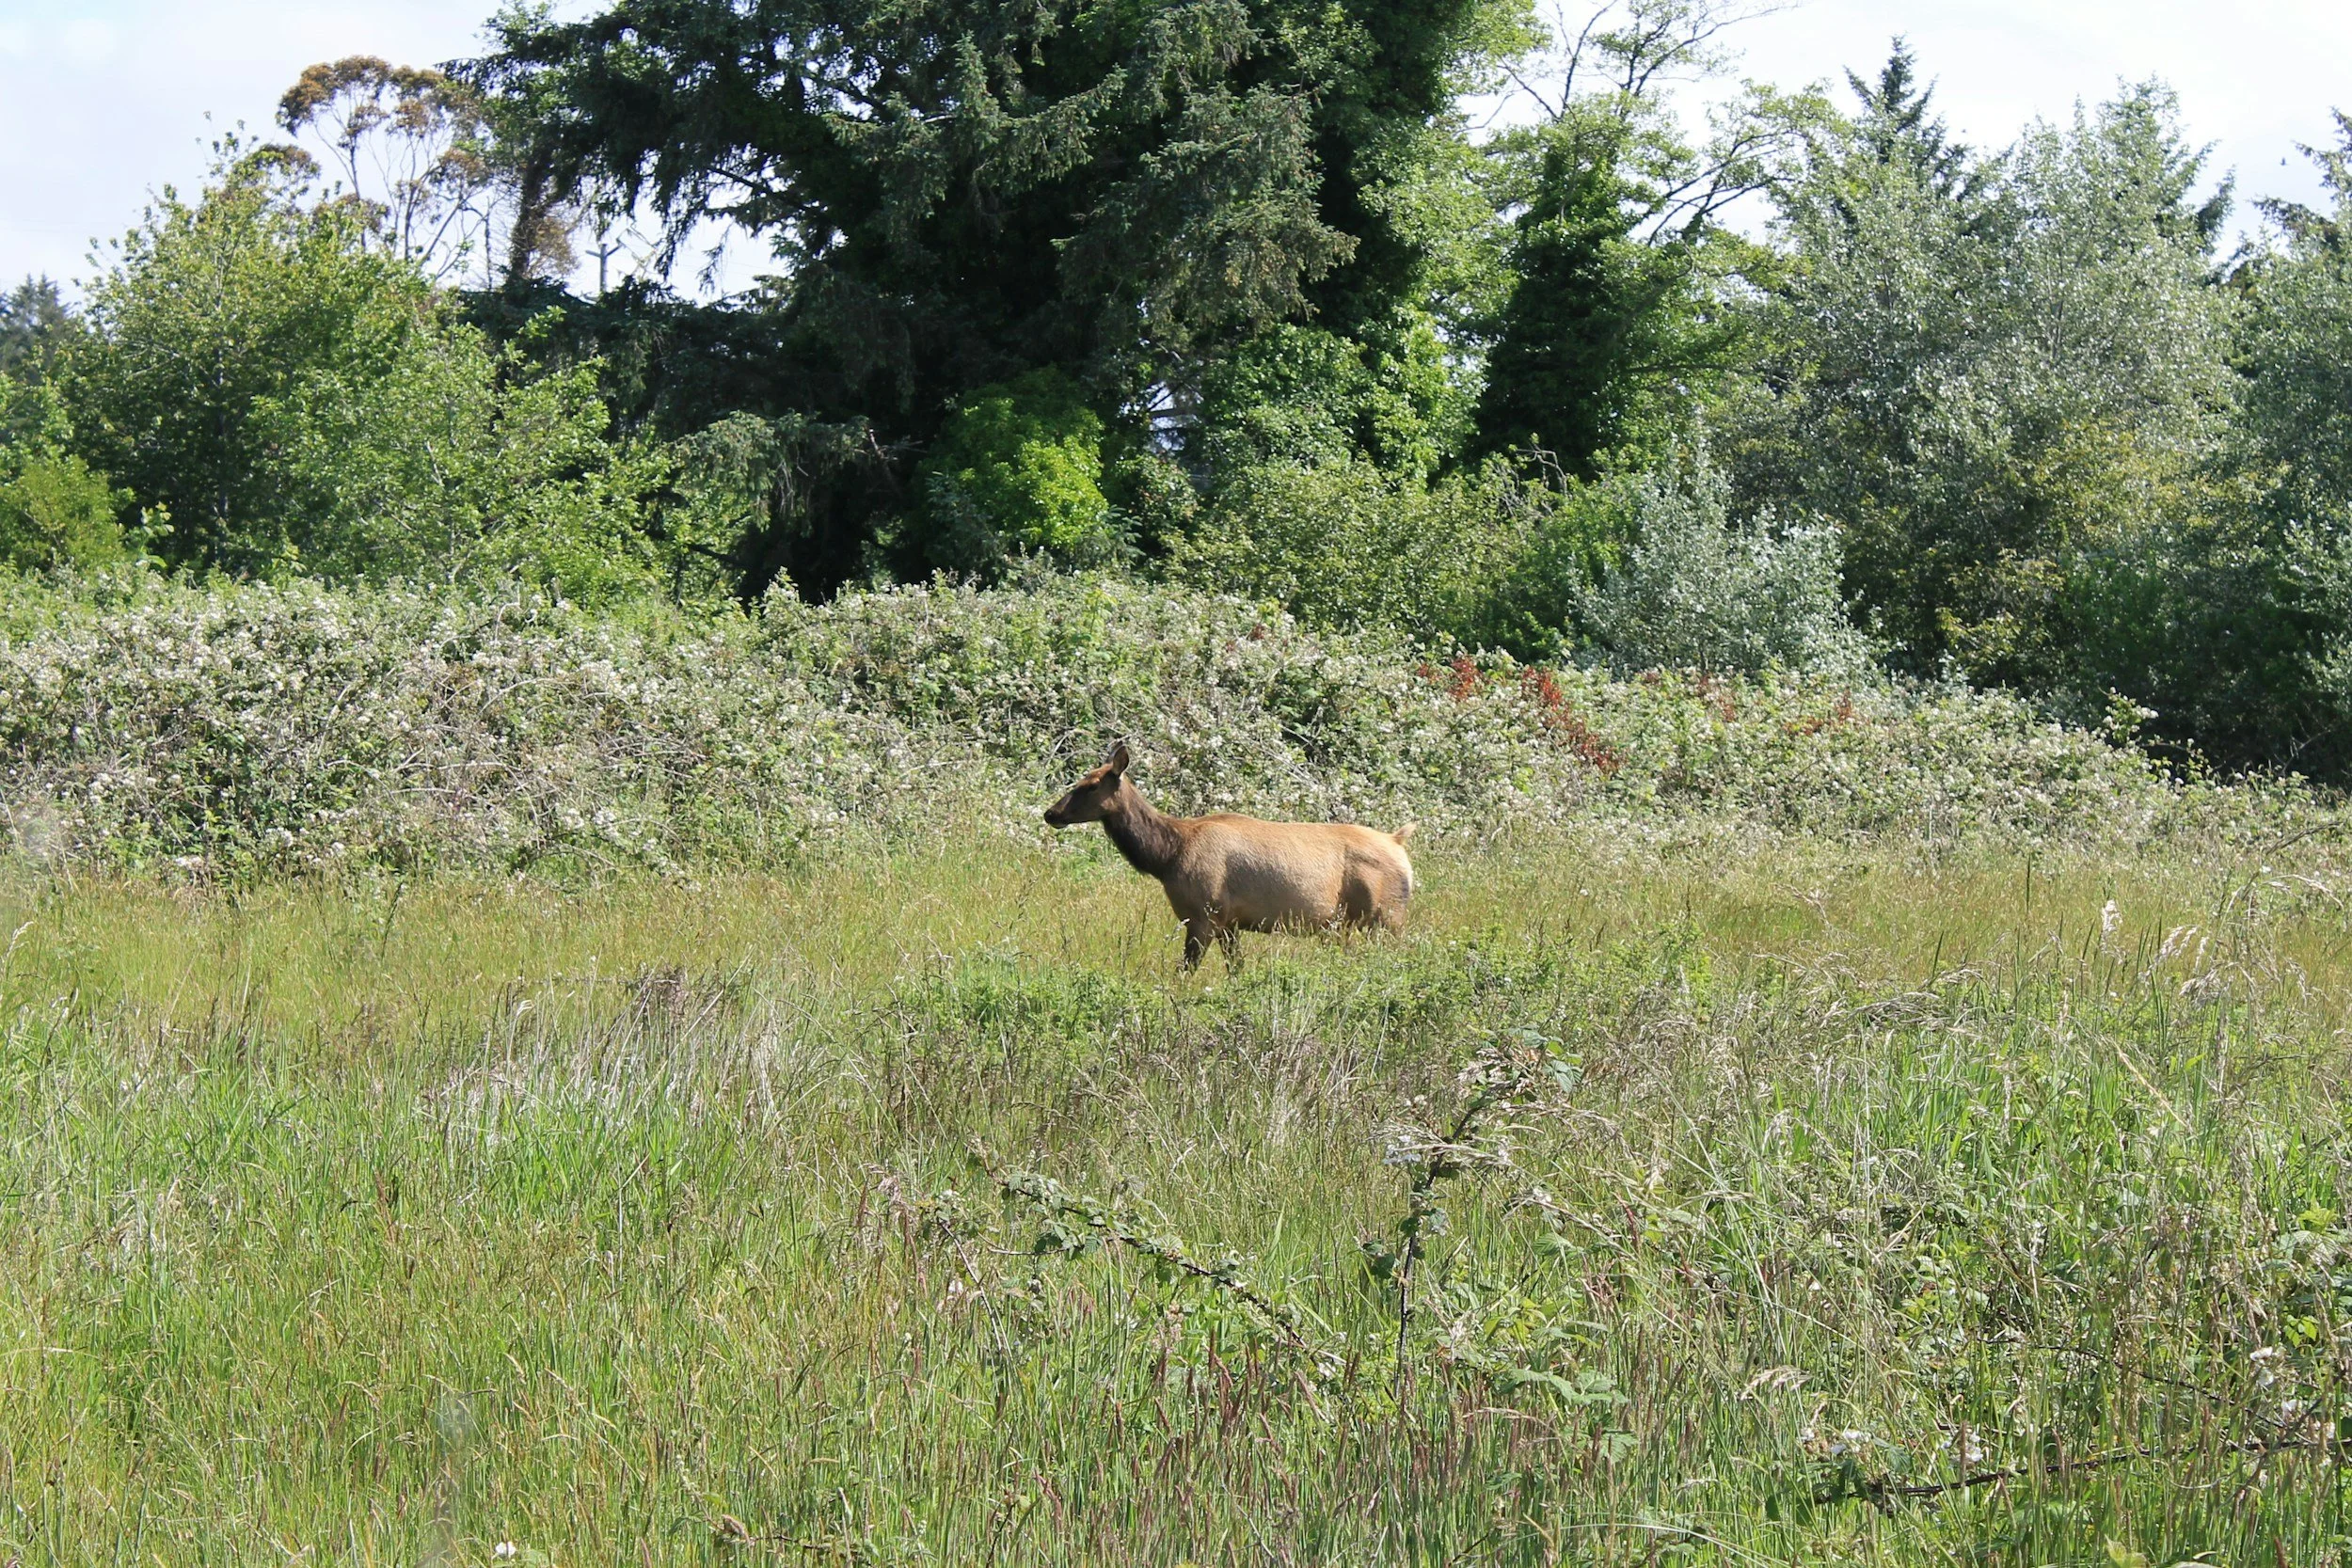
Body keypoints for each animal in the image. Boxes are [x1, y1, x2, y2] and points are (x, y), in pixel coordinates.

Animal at [1043, 741, 1416, 970]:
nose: (1051, 813)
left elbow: (1185, 971)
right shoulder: (1229, 923)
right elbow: (1235, 969)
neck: (1166, 857)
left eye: (1091, 785)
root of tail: (1399, 843)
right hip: (1350, 924)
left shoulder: (1203, 915)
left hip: (1387, 917)